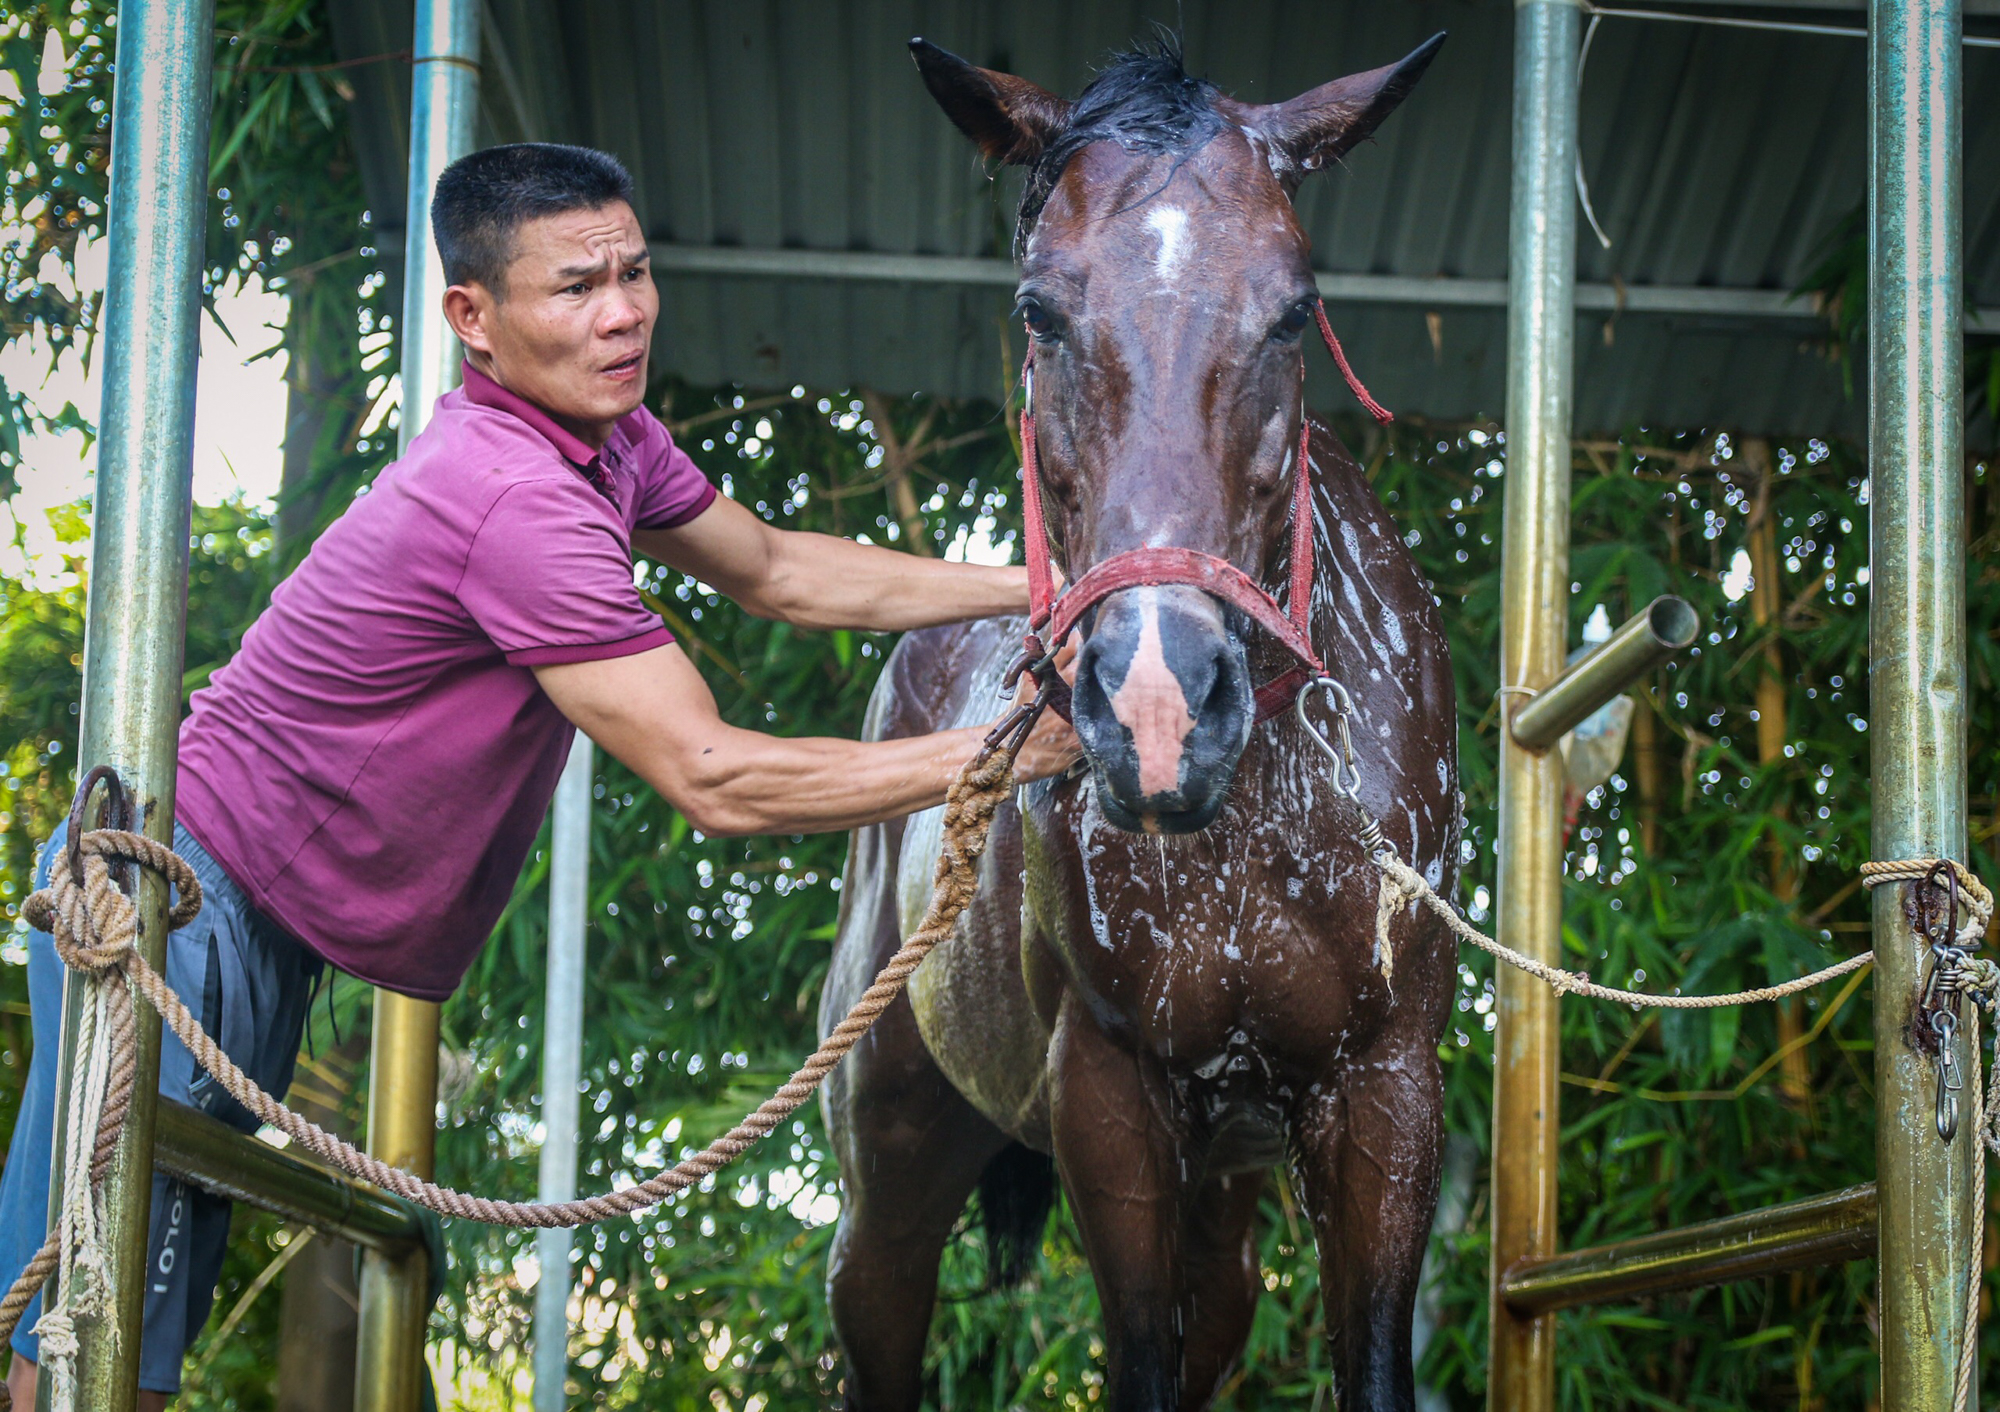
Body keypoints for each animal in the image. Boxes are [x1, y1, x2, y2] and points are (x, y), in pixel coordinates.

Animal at [820, 35, 1464, 1408]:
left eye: (1294, 309)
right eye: (1036, 309)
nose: (1159, 708)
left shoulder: (1386, 1089)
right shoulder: (1107, 1095)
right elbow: (1136, 1360)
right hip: (891, 1155)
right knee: (879, 1311)